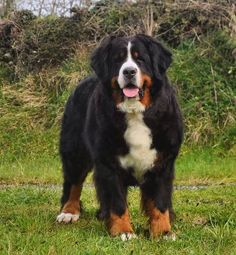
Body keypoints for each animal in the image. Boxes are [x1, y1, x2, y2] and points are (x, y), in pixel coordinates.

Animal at [56, 34, 183, 241]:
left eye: (140, 59)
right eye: (118, 60)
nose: (129, 71)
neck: (134, 112)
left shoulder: (163, 162)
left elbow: (160, 201)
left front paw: (163, 231)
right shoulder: (109, 163)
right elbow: (117, 201)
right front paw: (124, 231)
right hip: (75, 151)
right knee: (73, 183)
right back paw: (69, 211)